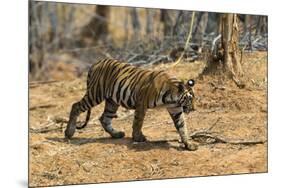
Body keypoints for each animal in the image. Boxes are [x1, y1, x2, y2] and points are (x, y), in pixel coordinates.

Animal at [64, 58, 197, 151]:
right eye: (189, 99)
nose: (194, 109)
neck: (172, 98)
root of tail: (96, 63)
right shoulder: (141, 104)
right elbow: (138, 122)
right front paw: (138, 137)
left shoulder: (176, 109)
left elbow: (182, 126)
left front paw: (189, 144)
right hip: (95, 94)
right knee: (76, 106)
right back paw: (69, 132)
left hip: (112, 101)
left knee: (104, 118)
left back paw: (117, 134)